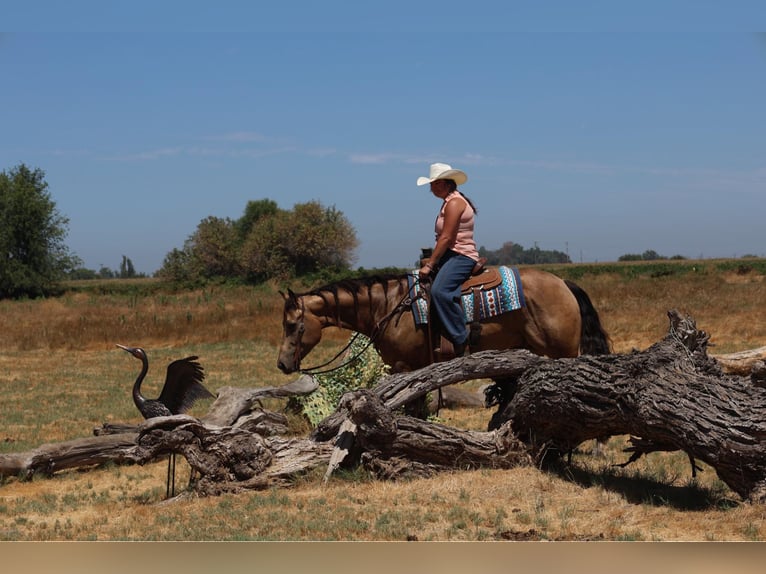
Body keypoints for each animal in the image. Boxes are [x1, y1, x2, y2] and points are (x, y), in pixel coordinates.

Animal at [276, 268, 612, 380]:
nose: (281, 364)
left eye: (292, 325)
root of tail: (564, 283)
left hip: (563, 351)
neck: (389, 306)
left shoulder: (404, 366)